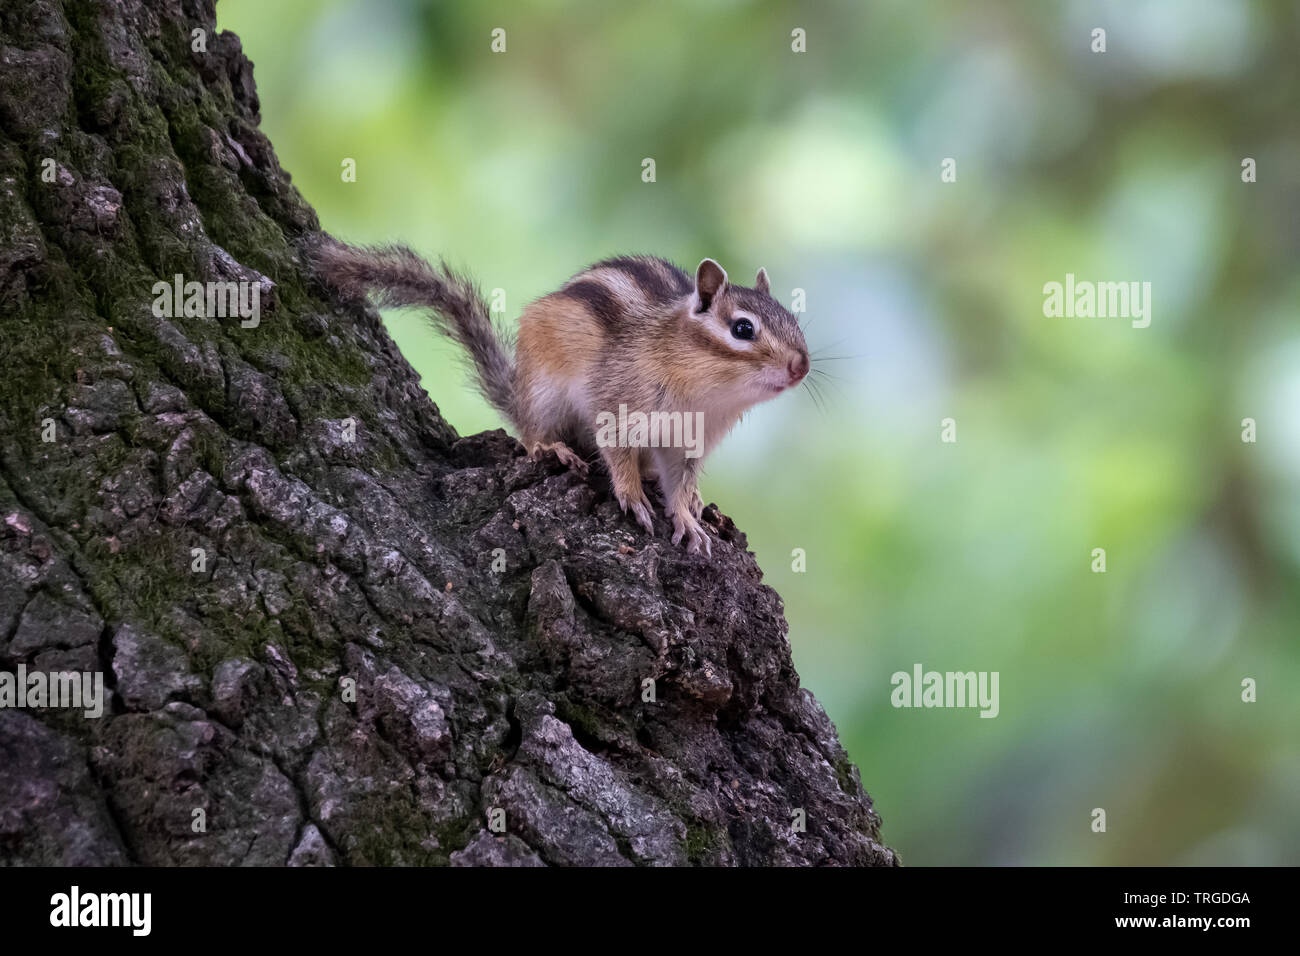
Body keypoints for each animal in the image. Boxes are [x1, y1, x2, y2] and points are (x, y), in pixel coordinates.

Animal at [315, 243, 810, 555]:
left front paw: (686, 518)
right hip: (544, 392)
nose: (801, 366)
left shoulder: (688, 443)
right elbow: (616, 452)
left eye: (794, 320)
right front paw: (632, 496)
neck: (707, 393)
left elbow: (680, 481)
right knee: (533, 430)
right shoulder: (618, 404)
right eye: (743, 328)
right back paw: (551, 447)